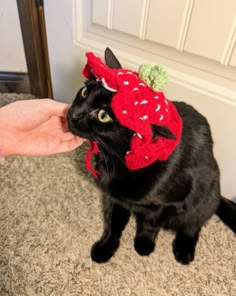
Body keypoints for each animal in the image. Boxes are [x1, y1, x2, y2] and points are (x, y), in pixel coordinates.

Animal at [67, 48, 236, 266]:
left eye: (104, 115)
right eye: (84, 92)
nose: (72, 114)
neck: (116, 161)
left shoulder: (166, 204)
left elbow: (150, 223)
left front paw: (144, 244)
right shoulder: (116, 199)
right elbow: (114, 225)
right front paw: (106, 248)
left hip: (204, 199)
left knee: (193, 225)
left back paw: (184, 251)